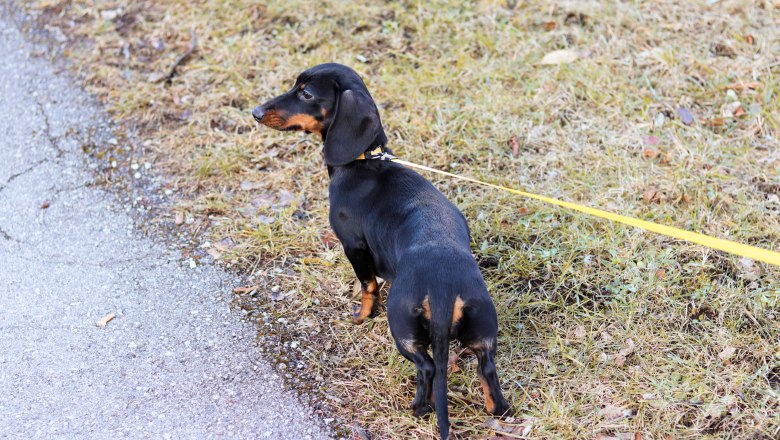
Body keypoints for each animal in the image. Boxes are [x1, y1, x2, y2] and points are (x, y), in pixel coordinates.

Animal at [253, 63, 512, 438]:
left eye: (306, 93)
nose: (256, 112)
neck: (362, 162)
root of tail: (443, 288)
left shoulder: (353, 245)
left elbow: (368, 285)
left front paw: (361, 316)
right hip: (483, 330)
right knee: (487, 369)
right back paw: (496, 409)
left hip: (402, 327)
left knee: (427, 367)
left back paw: (419, 409)